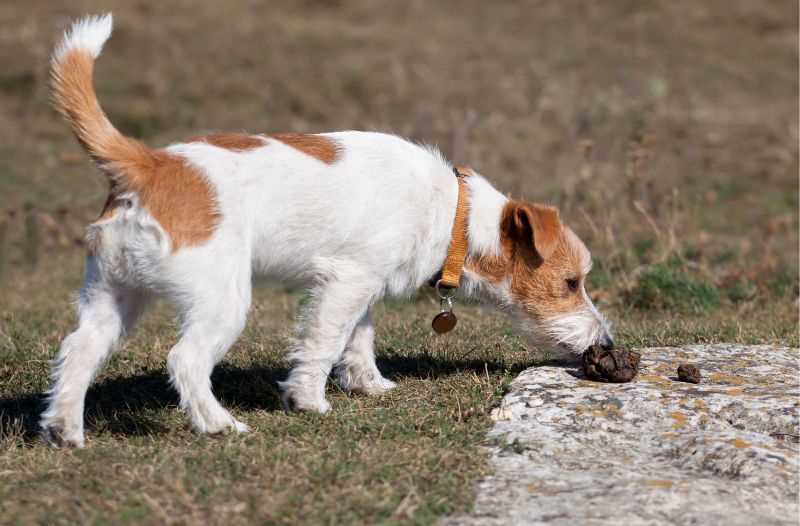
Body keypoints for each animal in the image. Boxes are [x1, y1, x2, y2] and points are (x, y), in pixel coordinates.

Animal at [39, 14, 612, 448]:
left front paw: (370, 385)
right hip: (221, 300)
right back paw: (219, 424)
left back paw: (66, 431)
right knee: (185, 360)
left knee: (78, 351)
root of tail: (148, 164)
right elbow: (323, 342)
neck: (454, 214)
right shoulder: (345, 284)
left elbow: (358, 339)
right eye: (570, 283)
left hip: (114, 294)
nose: (607, 342)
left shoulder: (359, 286)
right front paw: (309, 401)